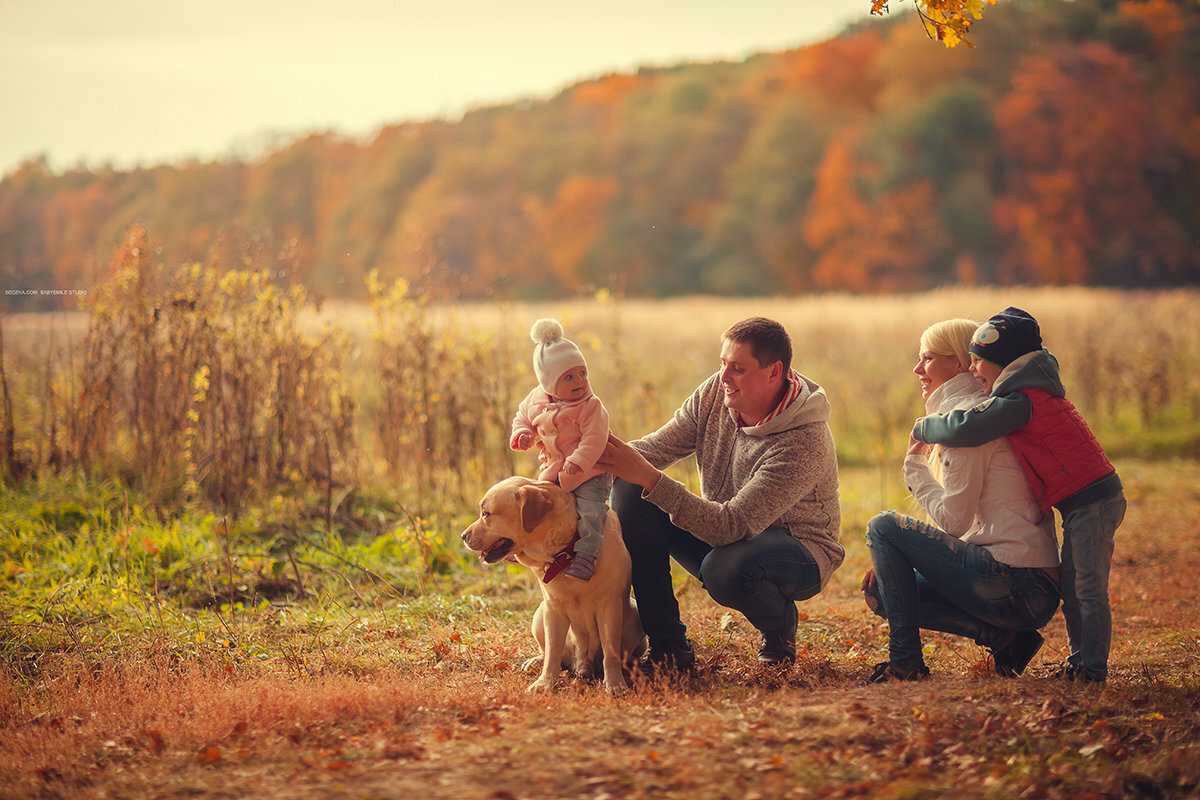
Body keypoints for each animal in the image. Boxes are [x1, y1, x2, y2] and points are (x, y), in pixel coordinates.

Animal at [460, 474, 648, 695]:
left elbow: (611, 653)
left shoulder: (609, 605)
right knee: (552, 653)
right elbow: (552, 653)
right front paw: (544, 684)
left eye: (486, 514)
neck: (567, 553)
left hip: (635, 612)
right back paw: (537, 662)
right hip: (539, 615)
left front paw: (616, 684)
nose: (463, 536)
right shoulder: (554, 609)